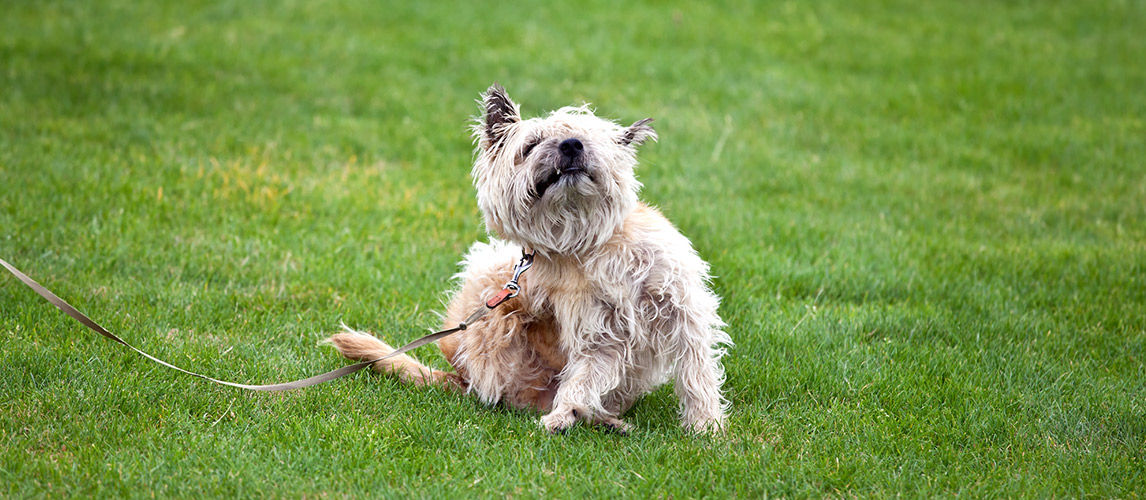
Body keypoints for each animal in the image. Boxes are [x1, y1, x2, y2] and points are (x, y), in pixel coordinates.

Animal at [327, 83, 728, 433]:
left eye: (588, 138)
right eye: (531, 145)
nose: (571, 145)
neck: (588, 243)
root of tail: (460, 378)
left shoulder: (680, 309)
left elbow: (696, 372)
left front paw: (707, 427)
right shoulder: (599, 334)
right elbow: (583, 377)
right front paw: (564, 414)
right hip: (489, 283)